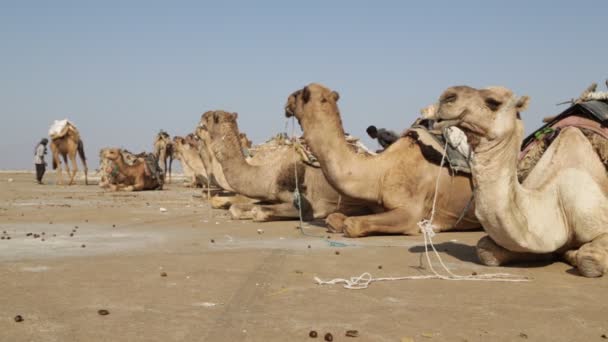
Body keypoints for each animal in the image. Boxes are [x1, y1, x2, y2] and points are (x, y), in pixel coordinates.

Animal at [200, 110, 372, 222]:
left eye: (206, 119)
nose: (199, 120)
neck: (267, 175)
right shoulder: (270, 196)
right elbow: (235, 208)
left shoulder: (302, 202)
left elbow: (259, 211)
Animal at [284, 83, 480, 238]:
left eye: (299, 93)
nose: (287, 101)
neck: (380, 172)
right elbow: (333, 219)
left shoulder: (411, 212)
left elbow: (352, 224)